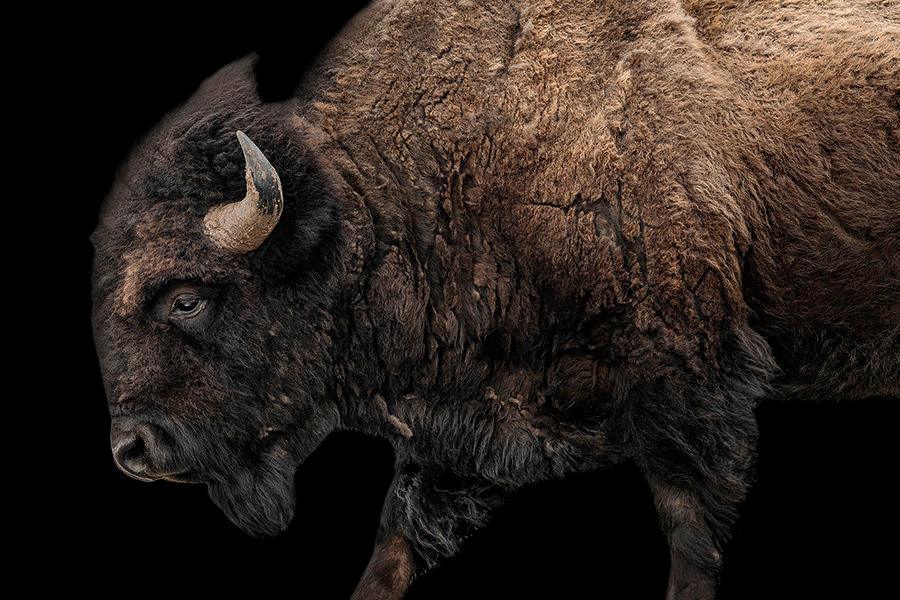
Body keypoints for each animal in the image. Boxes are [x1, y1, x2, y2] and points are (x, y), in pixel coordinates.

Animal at [91, 1, 899, 598]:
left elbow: (693, 541)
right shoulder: (458, 437)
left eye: (187, 298)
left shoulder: (690, 393)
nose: (133, 451)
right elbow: (393, 547)